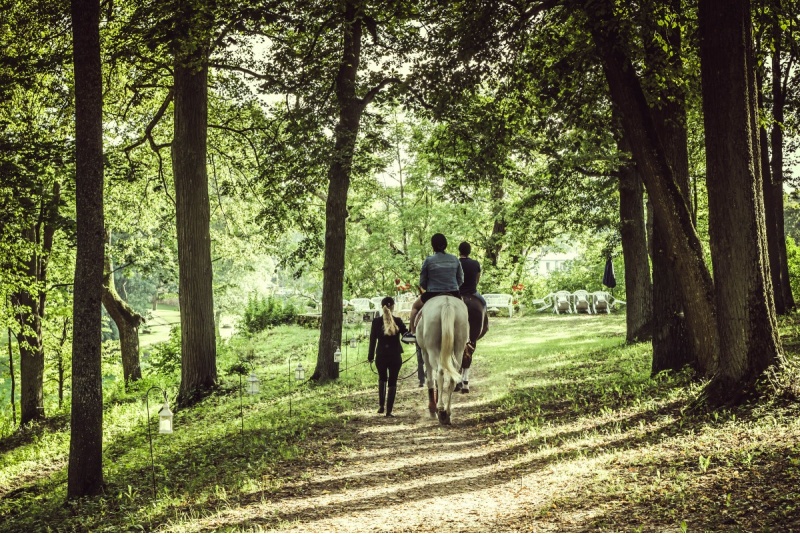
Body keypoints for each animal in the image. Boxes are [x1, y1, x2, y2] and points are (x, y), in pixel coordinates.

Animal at [416, 296, 472, 426]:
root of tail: (447, 303)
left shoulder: (425, 353)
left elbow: (430, 380)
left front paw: (432, 409)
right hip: (459, 348)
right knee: (452, 377)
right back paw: (447, 412)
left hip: (432, 350)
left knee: (440, 372)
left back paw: (441, 410)